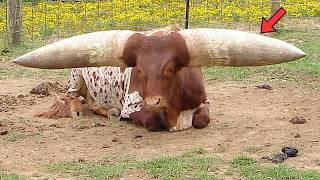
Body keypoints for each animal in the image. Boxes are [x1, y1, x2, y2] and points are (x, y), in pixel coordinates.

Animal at [13, 26, 306, 131]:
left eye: (171, 69)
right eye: (139, 70)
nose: (153, 102)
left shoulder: (204, 101)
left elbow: (202, 119)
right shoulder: (133, 107)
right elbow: (152, 122)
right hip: (75, 74)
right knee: (72, 97)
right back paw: (93, 109)